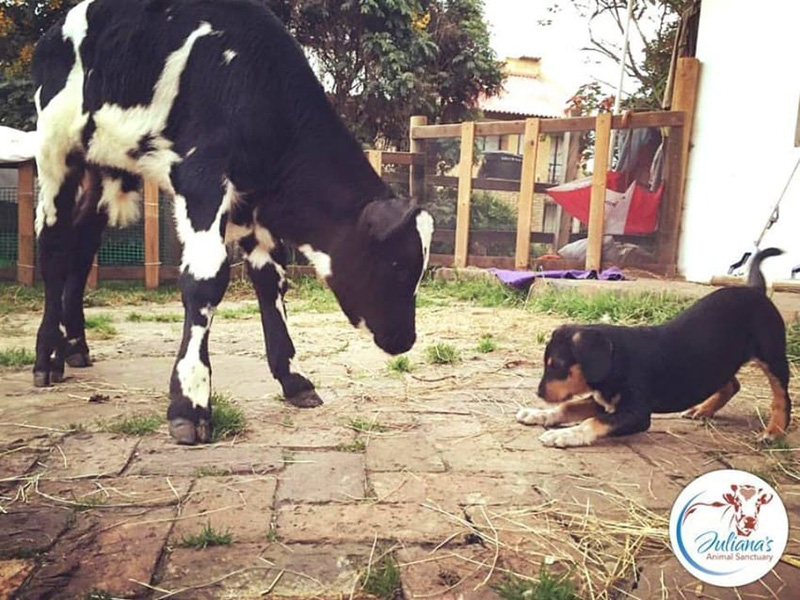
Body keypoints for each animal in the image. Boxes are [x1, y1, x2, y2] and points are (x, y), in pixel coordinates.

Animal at [32, 0, 432, 442]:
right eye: (397, 266)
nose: (405, 339)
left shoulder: (251, 203)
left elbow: (271, 281)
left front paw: (293, 380)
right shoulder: (201, 179)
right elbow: (204, 282)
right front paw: (190, 404)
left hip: (105, 168)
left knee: (82, 248)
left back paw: (75, 347)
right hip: (56, 151)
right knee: (53, 248)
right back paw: (46, 359)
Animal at [516, 246, 792, 448]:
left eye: (558, 365)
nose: (539, 393)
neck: (617, 360)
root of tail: (755, 290)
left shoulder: (636, 413)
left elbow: (593, 422)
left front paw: (565, 435)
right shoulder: (603, 402)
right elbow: (568, 406)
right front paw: (538, 414)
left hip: (772, 355)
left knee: (781, 396)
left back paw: (773, 432)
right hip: (718, 361)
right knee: (731, 384)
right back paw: (703, 409)